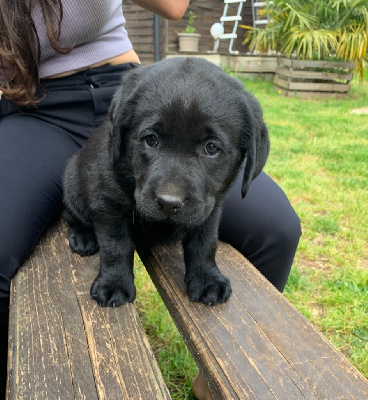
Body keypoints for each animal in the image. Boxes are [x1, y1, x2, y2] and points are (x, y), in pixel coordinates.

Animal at [63, 55, 268, 306]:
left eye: (211, 148)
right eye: (151, 140)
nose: (169, 203)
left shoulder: (210, 207)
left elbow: (205, 243)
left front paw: (207, 278)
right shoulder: (107, 203)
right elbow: (116, 245)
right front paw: (114, 283)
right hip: (72, 184)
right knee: (71, 216)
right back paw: (83, 237)